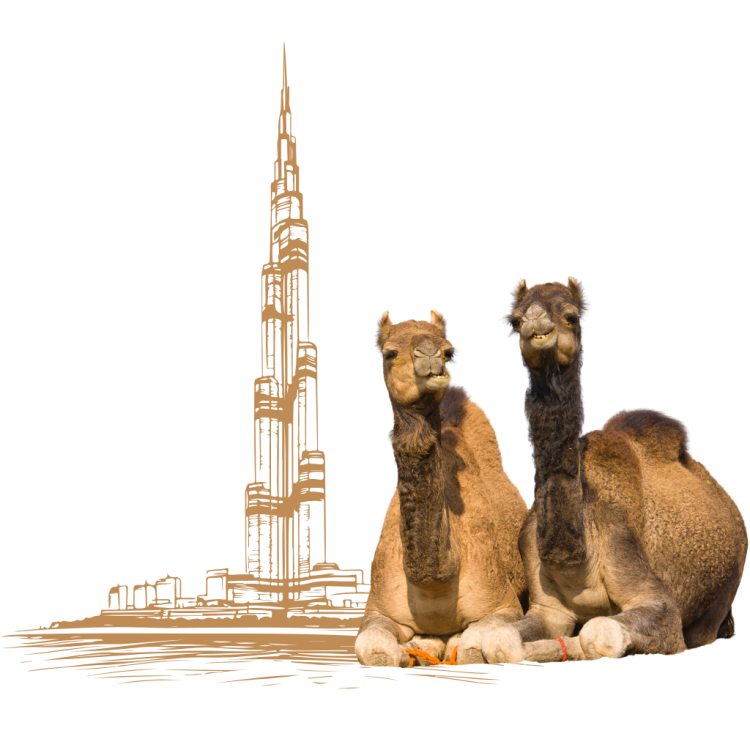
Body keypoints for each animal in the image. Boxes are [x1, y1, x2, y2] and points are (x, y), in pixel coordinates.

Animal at [354, 309, 529, 667]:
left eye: (448, 350)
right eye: (390, 353)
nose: (431, 357)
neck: (434, 582)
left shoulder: (503, 604)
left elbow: (474, 648)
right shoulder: (378, 609)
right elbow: (374, 648)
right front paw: (407, 651)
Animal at [486, 276, 747, 663]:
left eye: (571, 316)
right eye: (516, 320)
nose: (535, 324)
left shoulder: (643, 580)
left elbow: (600, 632)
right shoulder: (548, 608)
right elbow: (498, 636)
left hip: (727, 585)